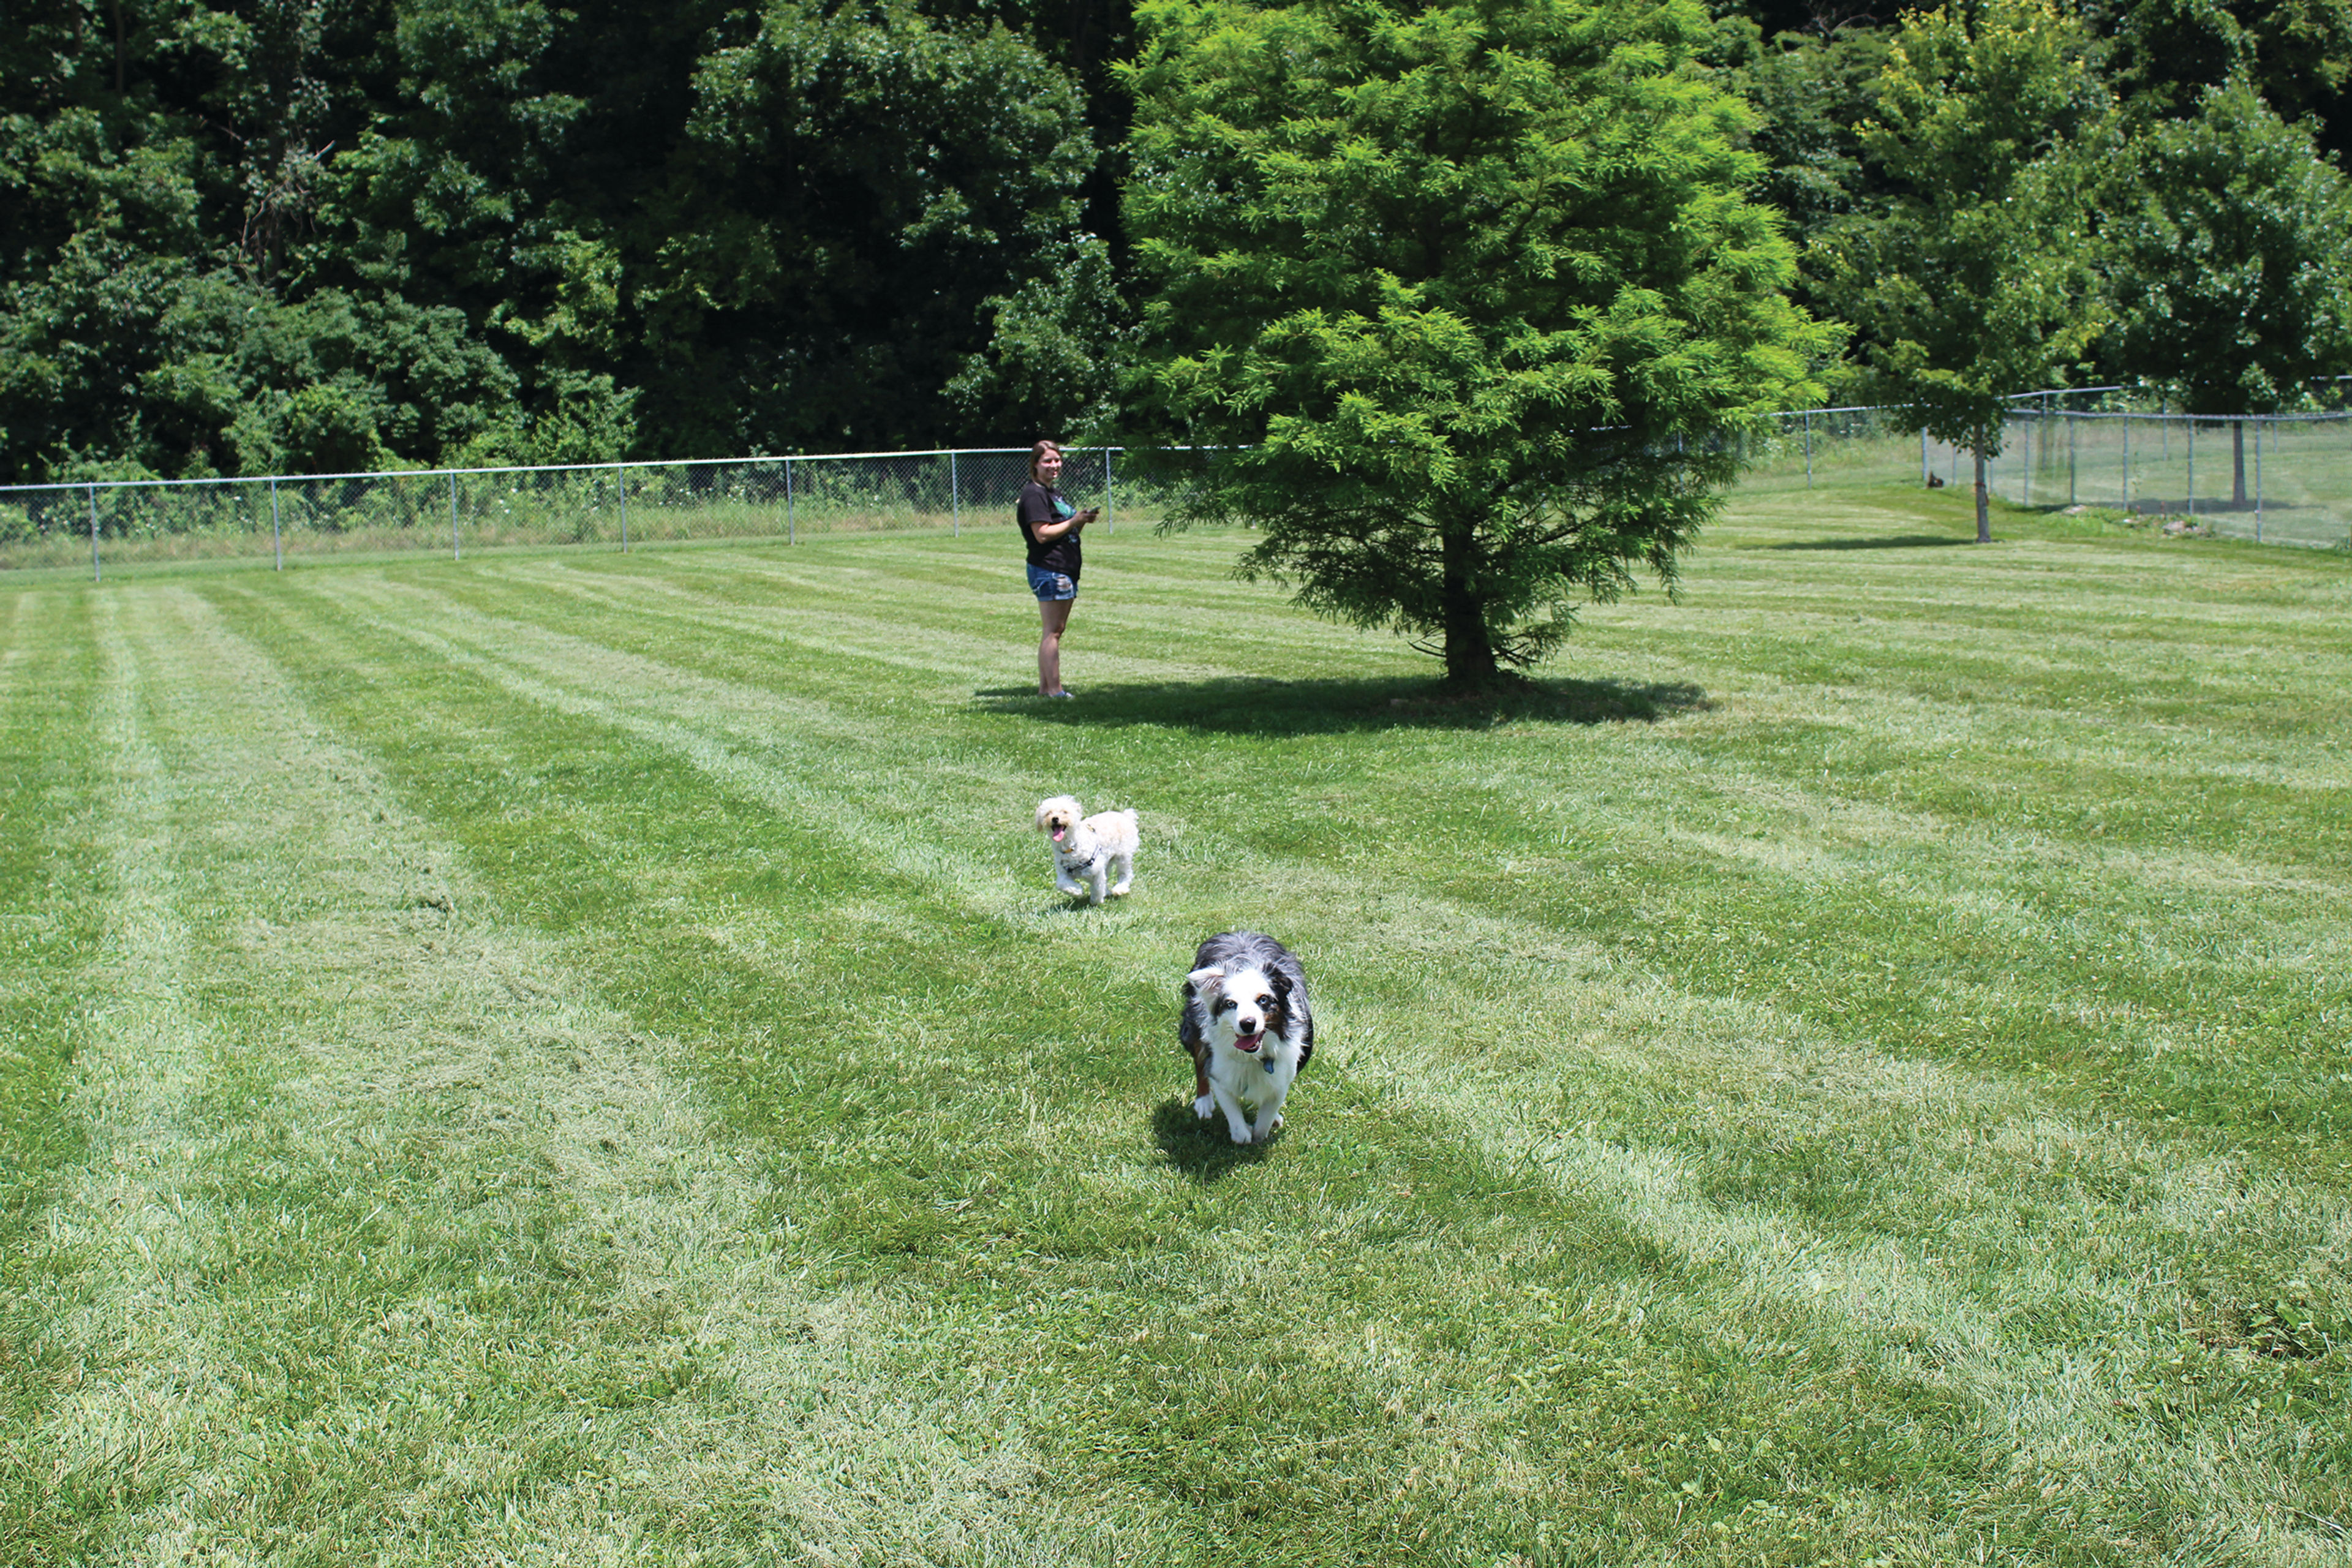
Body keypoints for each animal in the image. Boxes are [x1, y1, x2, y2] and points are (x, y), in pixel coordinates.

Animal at [1030, 799, 1138, 907]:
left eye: (1065, 812)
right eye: (1048, 813)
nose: (1055, 818)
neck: (1070, 847)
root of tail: (1126, 816)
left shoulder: (1096, 870)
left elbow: (1097, 887)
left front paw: (1096, 901)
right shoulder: (1063, 872)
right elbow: (1061, 884)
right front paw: (1077, 891)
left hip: (1123, 856)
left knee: (1126, 874)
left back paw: (1120, 889)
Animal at [1185, 926, 1317, 1147]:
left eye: (1263, 1000)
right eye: (1230, 1004)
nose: (1248, 1024)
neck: (1254, 1056)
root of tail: (1237, 933)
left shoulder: (1282, 1078)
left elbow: (1266, 1118)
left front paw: (1261, 1132)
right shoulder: (1220, 1071)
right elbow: (1236, 1123)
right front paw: (1245, 1131)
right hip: (1192, 1026)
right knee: (1199, 1059)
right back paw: (1204, 1102)